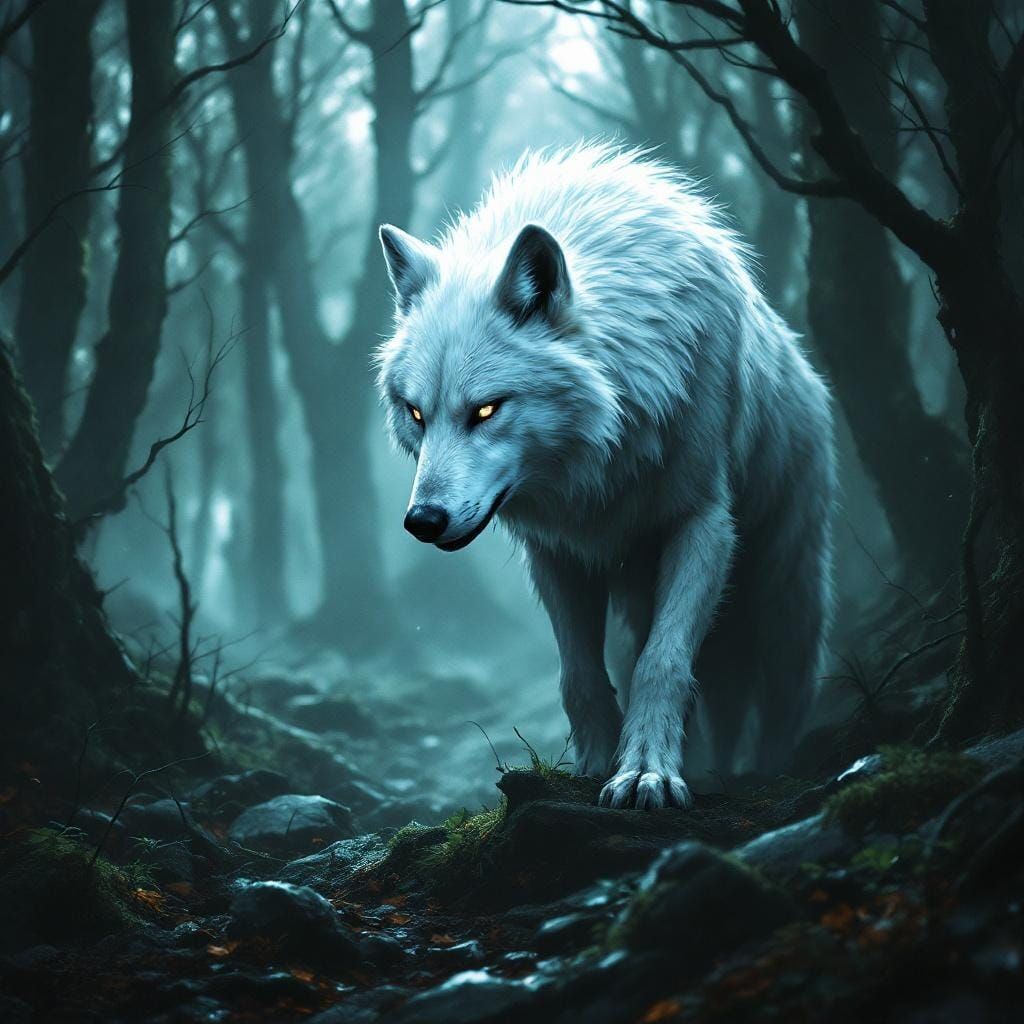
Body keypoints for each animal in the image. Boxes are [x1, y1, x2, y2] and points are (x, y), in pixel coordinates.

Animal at [376, 144, 834, 809]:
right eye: (417, 413)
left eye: (485, 410)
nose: (421, 521)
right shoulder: (556, 549)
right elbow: (579, 678)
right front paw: (595, 765)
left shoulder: (703, 523)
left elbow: (663, 664)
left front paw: (647, 774)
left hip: (781, 599)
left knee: (778, 693)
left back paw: (764, 771)